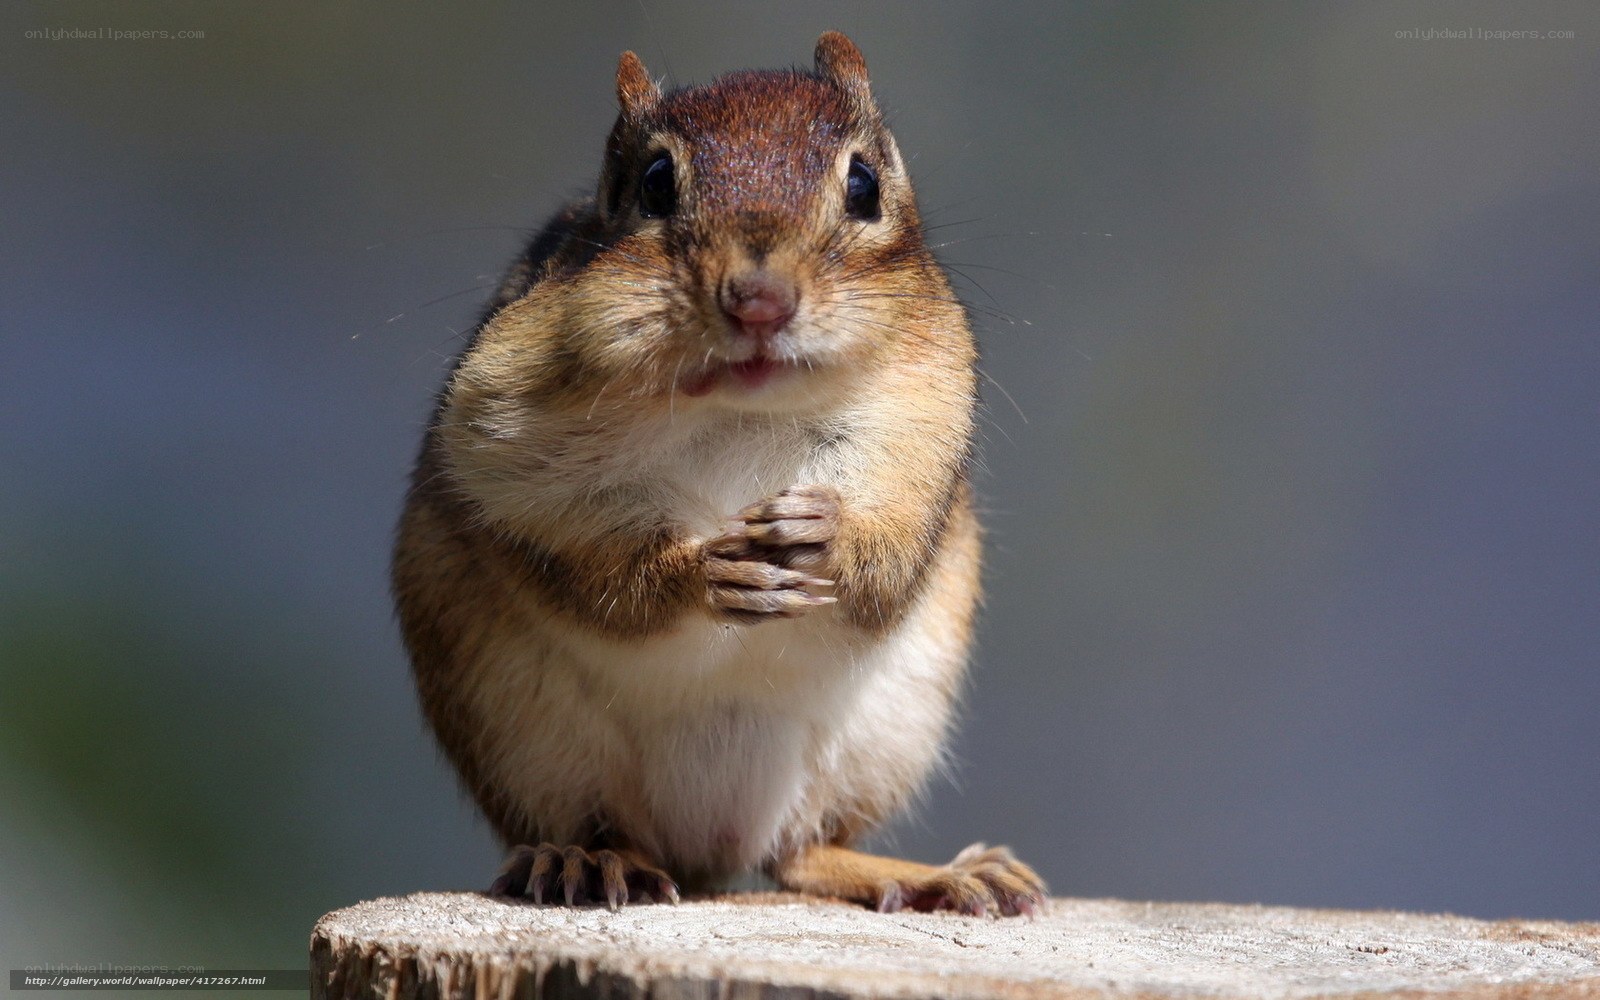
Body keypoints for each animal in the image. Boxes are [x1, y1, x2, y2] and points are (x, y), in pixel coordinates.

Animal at [392, 31, 1045, 917]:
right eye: (654, 184)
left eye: (864, 186)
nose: (759, 300)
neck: (743, 409)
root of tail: (708, 850)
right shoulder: (500, 452)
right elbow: (595, 577)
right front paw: (704, 570)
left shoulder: (921, 442)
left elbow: (889, 562)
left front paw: (823, 534)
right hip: (523, 740)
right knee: (602, 825)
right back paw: (583, 861)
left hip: (877, 741)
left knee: (801, 854)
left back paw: (935, 874)